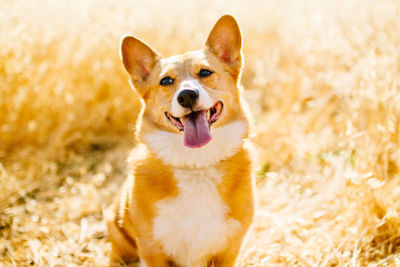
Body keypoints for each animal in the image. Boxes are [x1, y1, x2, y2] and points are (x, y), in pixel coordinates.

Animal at [106, 14, 255, 267]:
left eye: (205, 73)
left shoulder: (228, 250)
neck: (196, 164)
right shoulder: (152, 250)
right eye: (166, 81)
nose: (187, 96)